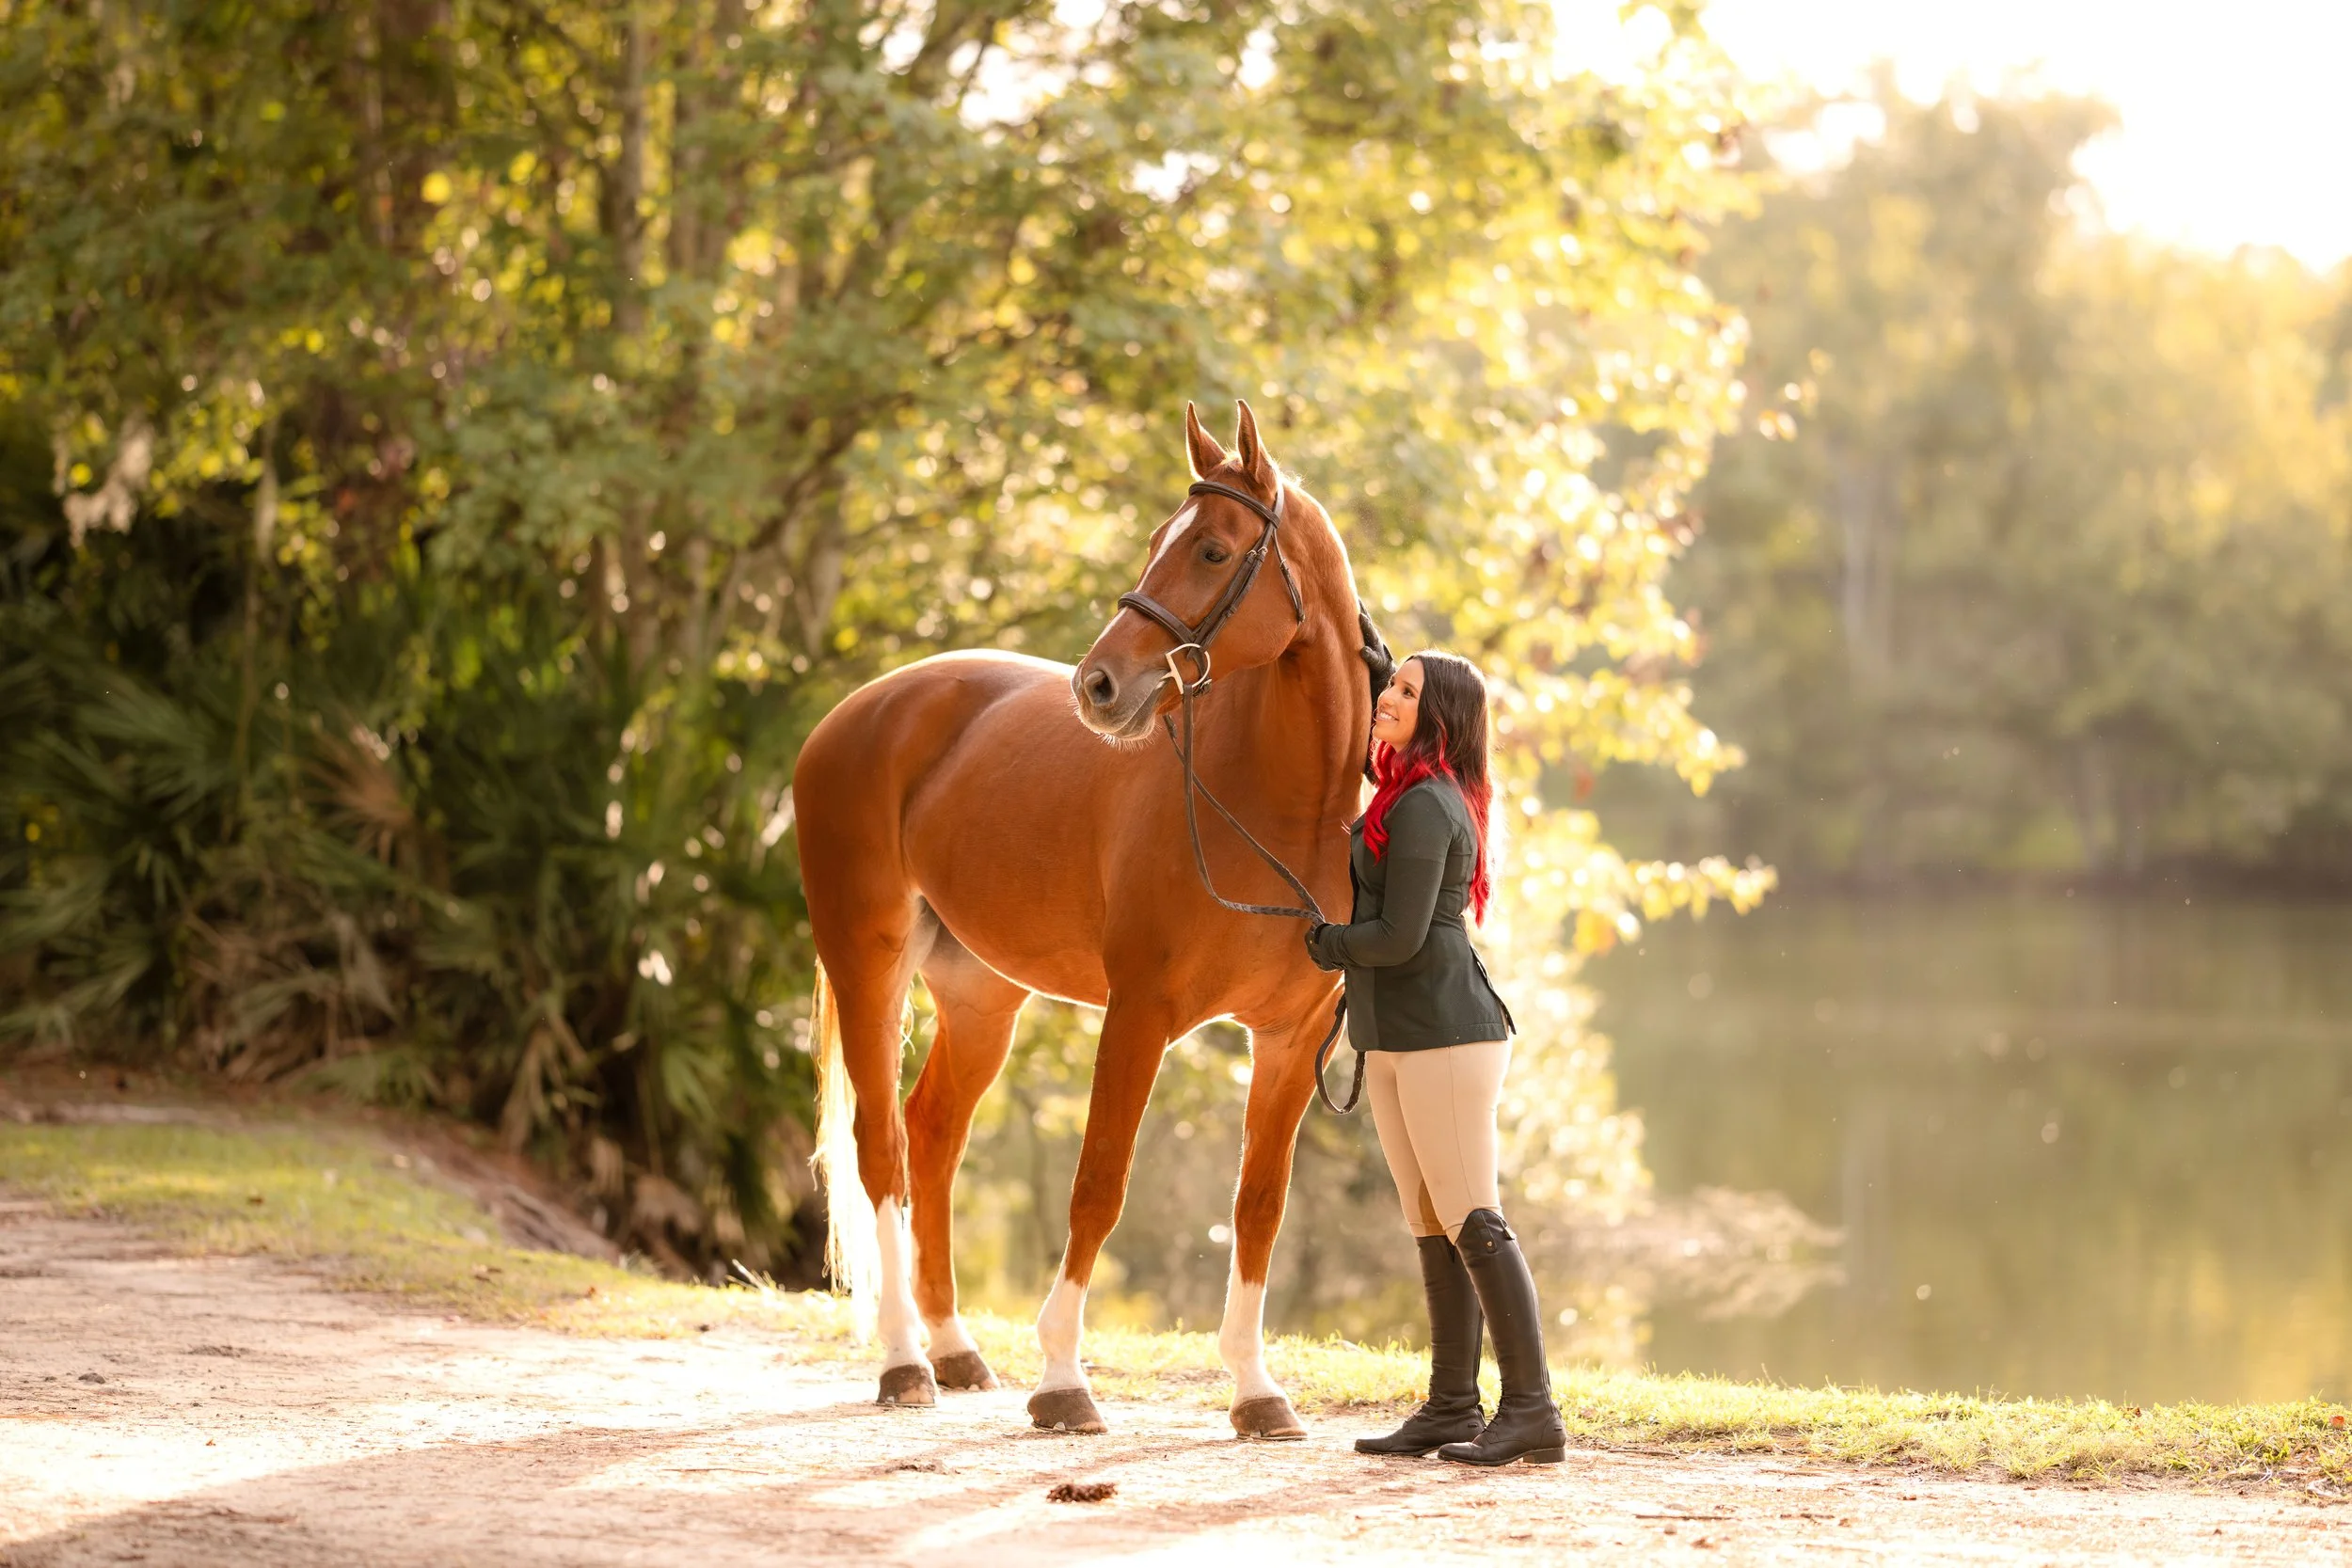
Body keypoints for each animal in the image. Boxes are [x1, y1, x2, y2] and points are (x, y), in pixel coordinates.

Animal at [794, 399, 1375, 1438]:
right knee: (881, 1148)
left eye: (1214, 549)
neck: (1275, 804)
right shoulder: (1139, 1014)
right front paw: (1064, 1377)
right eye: (1157, 542)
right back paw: (904, 1362)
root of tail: (857, 711)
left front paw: (1255, 1389)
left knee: (931, 1137)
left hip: (981, 998)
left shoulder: (1287, 1040)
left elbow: (1258, 1204)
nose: (1097, 686)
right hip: (869, 964)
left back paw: (954, 1349)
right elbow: (1099, 1183)